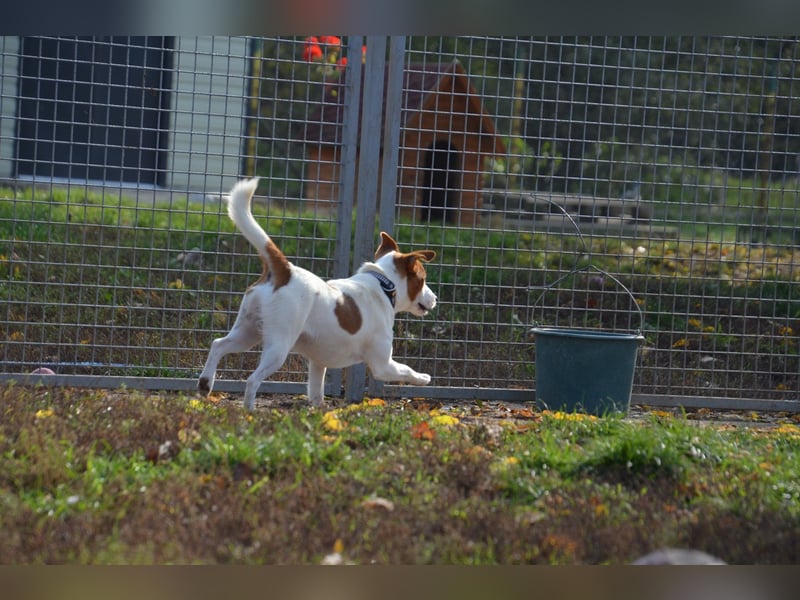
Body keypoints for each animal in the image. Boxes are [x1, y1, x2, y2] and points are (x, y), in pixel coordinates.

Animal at [199, 178, 438, 410]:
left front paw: (318, 414)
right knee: (252, 380)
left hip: (247, 332)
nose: (435, 298)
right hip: (278, 346)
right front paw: (424, 378)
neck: (383, 283)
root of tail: (286, 271)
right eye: (423, 279)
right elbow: (406, 369)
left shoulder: (317, 363)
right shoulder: (383, 365)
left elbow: (316, 392)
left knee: (218, 345)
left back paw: (205, 383)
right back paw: (249, 410)